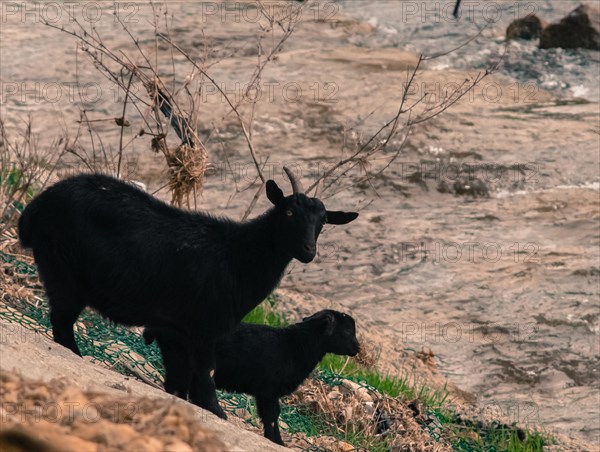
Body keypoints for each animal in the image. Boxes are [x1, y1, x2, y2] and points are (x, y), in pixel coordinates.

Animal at [17, 171, 356, 418]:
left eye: (323, 223)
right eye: (288, 213)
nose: (308, 251)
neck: (237, 256)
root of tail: (34, 209)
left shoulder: (175, 332)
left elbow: (180, 383)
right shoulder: (206, 326)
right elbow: (205, 373)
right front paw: (217, 411)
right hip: (62, 268)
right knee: (62, 322)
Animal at [145, 310, 358, 444]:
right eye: (348, 331)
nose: (357, 349)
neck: (295, 345)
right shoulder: (269, 390)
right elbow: (272, 416)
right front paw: (277, 441)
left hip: (176, 355)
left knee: (179, 384)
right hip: (184, 355)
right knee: (192, 383)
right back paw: (216, 412)